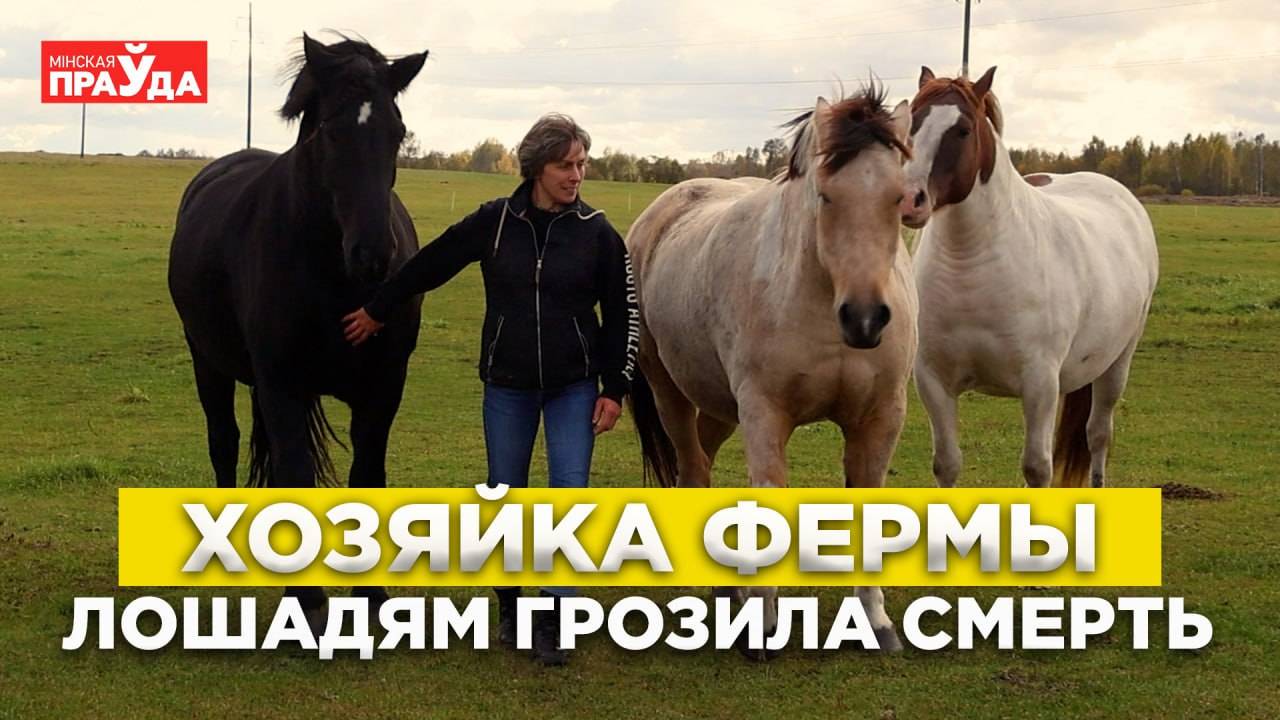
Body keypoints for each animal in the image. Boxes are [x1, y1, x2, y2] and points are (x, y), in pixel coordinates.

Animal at [168, 34, 428, 620]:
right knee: (223, 441)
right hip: (207, 362)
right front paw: (307, 602)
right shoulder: (282, 385)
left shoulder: (384, 389)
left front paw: (372, 595)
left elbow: (368, 475)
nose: (374, 256)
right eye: (331, 130)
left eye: (397, 131)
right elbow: (294, 471)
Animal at [625, 83, 917, 658]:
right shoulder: (764, 415)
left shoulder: (880, 418)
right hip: (670, 393)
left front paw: (875, 621)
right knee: (692, 470)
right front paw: (762, 627)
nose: (865, 318)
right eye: (825, 196)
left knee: (703, 462)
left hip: (719, 408)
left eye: (899, 197)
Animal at [899, 66, 1159, 489]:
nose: (909, 199)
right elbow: (947, 465)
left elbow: (1037, 468)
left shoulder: (1039, 384)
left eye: (962, 130)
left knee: (1098, 435)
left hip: (1116, 365)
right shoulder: (934, 382)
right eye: (911, 122)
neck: (971, 266)